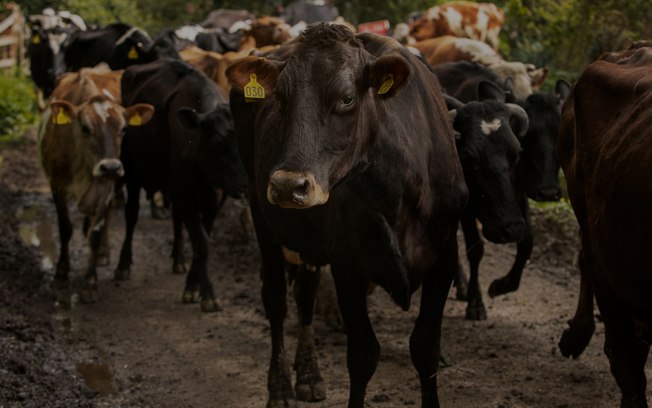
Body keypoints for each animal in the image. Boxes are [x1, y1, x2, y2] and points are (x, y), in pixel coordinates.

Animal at [38, 64, 154, 302]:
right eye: (84, 127)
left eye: (124, 129)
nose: (110, 167)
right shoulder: (57, 185)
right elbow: (65, 228)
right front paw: (61, 273)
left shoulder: (107, 187)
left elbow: (96, 232)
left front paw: (90, 283)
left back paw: (109, 256)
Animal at [114, 58, 247, 312]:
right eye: (217, 144)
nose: (244, 188)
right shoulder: (183, 192)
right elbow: (202, 242)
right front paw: (207, 294)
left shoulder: (214, 197)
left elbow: (202, 239)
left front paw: (193, 286)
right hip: (132, 171)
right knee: (131, 215)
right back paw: (123, 265)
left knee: (176, 220)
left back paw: (178, 259)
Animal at [227, 23, 466, 408]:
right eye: (280, 99)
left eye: (347, 98)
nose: (287, 186)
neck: (395, 192)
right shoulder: (348, 264)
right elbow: (363, 355)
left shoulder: (444, 257)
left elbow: (426, 347)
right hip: (260, 211)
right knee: (276, 300)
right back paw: (280, 388)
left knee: (304, 295)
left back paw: (309, 375)